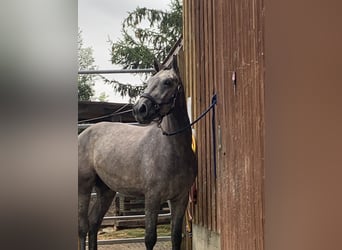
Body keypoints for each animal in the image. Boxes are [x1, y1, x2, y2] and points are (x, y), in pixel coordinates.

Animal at [77, 55, 195, 249]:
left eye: (168, 82)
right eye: (149, 82)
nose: (140, 109)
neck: (172, 150)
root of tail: (84, 133)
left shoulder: (180, 198)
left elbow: (176, 237)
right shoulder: (152, 198)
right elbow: (150, 238)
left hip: (106, 190)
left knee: (94, 223)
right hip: (84, 188)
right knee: (82, 228)